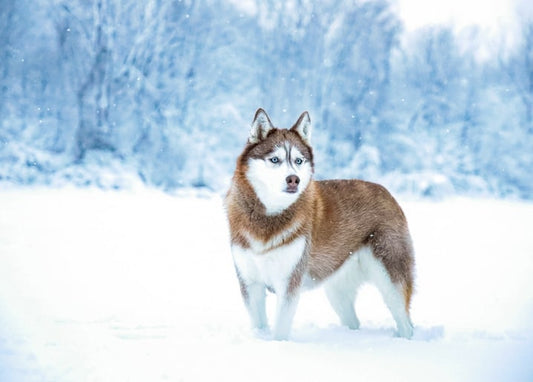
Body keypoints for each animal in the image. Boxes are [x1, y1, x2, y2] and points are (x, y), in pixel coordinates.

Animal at [222, 109, 414, 338]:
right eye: (275, 159)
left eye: (298, 161)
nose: (293, 179)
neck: (269, 217)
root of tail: (386, 191)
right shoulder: (250, 282)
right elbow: (259, 323)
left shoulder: (289, 282)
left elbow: (280, 329)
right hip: (336, 289)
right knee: (353, 320)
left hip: (390, 279)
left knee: (405, 321)